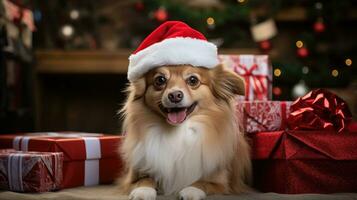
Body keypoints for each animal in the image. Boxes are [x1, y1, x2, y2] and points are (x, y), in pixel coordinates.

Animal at [117, 63, 250, 199]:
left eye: (193, 80)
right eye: (160, 80)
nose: (175, 95)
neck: (178, 131)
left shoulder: (221, 183)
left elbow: (202, 182)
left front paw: (192, 190)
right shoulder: (133, 177)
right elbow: (145, 179)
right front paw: (143, 191)